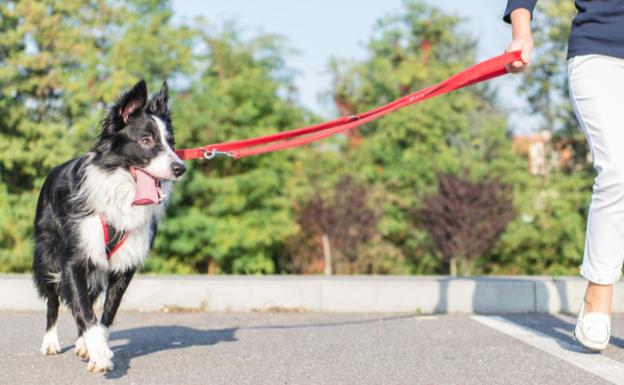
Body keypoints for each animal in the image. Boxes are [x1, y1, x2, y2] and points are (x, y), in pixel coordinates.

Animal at [33, 79, 185, 370]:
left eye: (171, 143)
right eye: (146, 140)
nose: (180, 168)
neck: (122, 190)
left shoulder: (124, 264)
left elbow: (107, 311)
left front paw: (95, 346)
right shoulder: (74, 259)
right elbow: (81, 307)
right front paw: (100, 354)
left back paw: (82, 345)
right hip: (47, 255)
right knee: (53, 300)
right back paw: (49, 342)